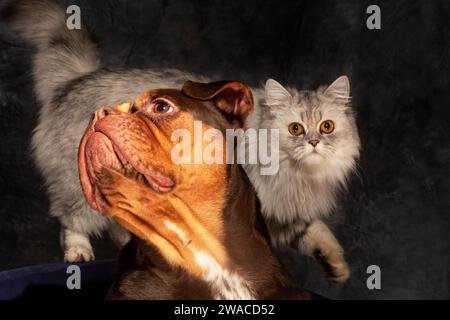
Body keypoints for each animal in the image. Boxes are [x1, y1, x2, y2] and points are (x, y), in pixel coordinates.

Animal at [244, 77, 360, 282]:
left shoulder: (289, 216)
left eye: (327, 126)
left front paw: (336, 266)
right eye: (295, 129)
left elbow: (316, 230)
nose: (314, 142)